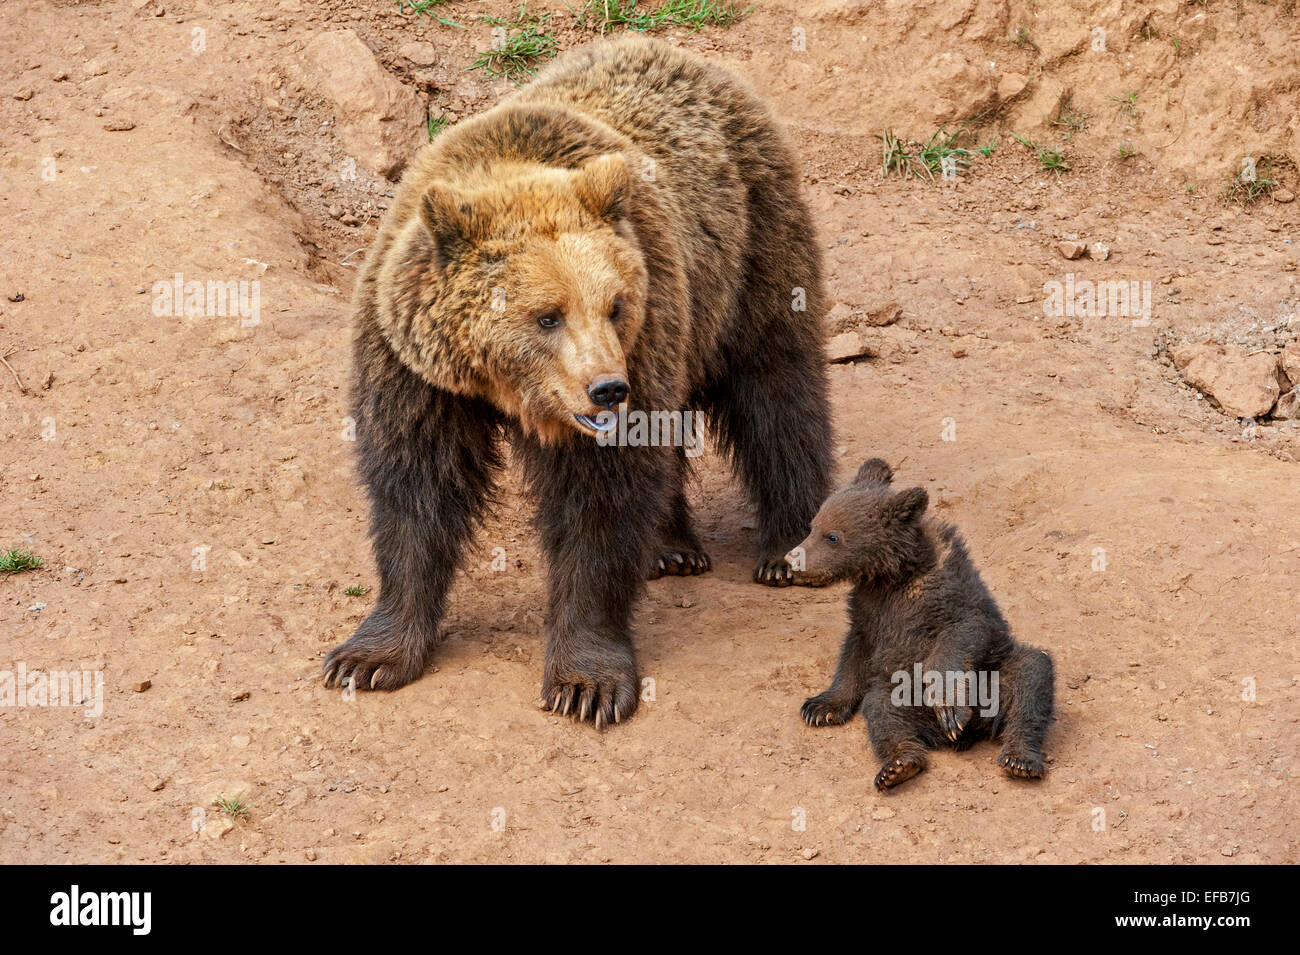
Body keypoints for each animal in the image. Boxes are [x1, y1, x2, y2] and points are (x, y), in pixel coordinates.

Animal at [321, 35, 834, 726]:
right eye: (547, 315)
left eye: (614, 304)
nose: (607, 389)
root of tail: (689, 58)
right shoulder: (414, 370)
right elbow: (416, 490)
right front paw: (369, 656)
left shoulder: (644, 333)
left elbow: (599, 504)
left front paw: (586, 682)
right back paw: (671, 547)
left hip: (751, 249)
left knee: (776, 387)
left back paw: (789, 548)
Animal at [790, 459, 1055, 790]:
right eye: (813, 526)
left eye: (832, 536)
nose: (792, 559)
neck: (893, 575)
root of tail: (969, 733)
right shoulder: (869, 611)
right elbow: (854, 655)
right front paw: (819, 707)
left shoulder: (948, 595)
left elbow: (964, 634)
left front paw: (950, 706)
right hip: (901, 693)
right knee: (882, 710)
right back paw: (898, 765)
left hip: (992, 679)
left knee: (1030, 676)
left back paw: (1019, 758)